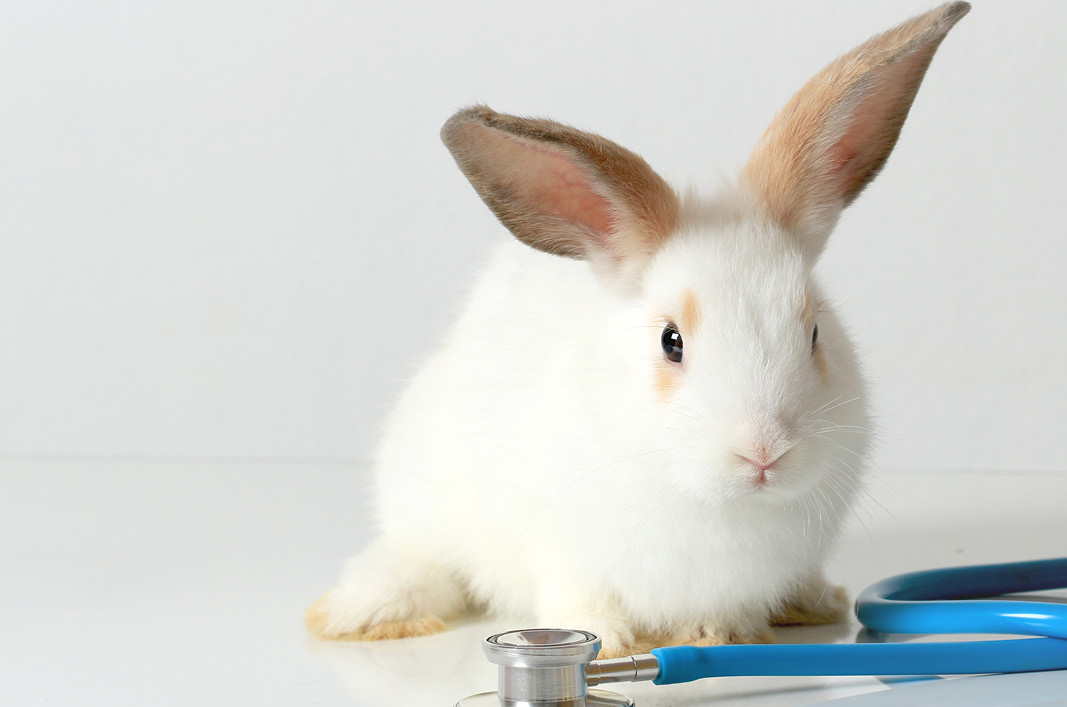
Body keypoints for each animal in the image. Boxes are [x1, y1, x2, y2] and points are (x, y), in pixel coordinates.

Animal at [306, 2, 969, 658]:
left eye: (813, 333)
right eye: (670, 341)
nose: (763, 452)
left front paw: (718, 634)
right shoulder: (563, 552)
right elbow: (580, 600)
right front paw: (606, 641)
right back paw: (361, 615)